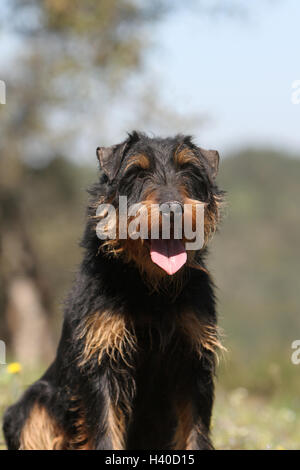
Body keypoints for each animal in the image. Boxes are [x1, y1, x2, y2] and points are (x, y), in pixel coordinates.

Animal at [2, 130, 224, 450]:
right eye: (137, 172)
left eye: (189, 170)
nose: (173, 210)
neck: (151, 287)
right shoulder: (101, 360)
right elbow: (104, 429)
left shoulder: (192, 362)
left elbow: (195, 432)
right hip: (33, 404)